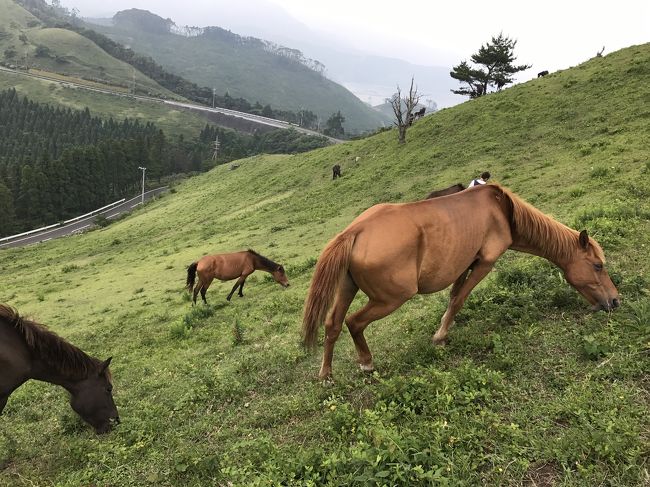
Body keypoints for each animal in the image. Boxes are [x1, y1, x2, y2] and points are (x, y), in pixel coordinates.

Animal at [302, 185, 616, 380]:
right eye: (597, 265)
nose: (615, 300)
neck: (503, 212)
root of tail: (356, 230)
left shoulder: (464, 264)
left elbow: (454, 297)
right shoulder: (484, 263)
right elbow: (459, 300)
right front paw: (440, 336)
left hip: (347, 287)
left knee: (332, 325)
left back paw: (326, 374)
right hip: (391, 298)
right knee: (354, 322)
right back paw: (366, 362)